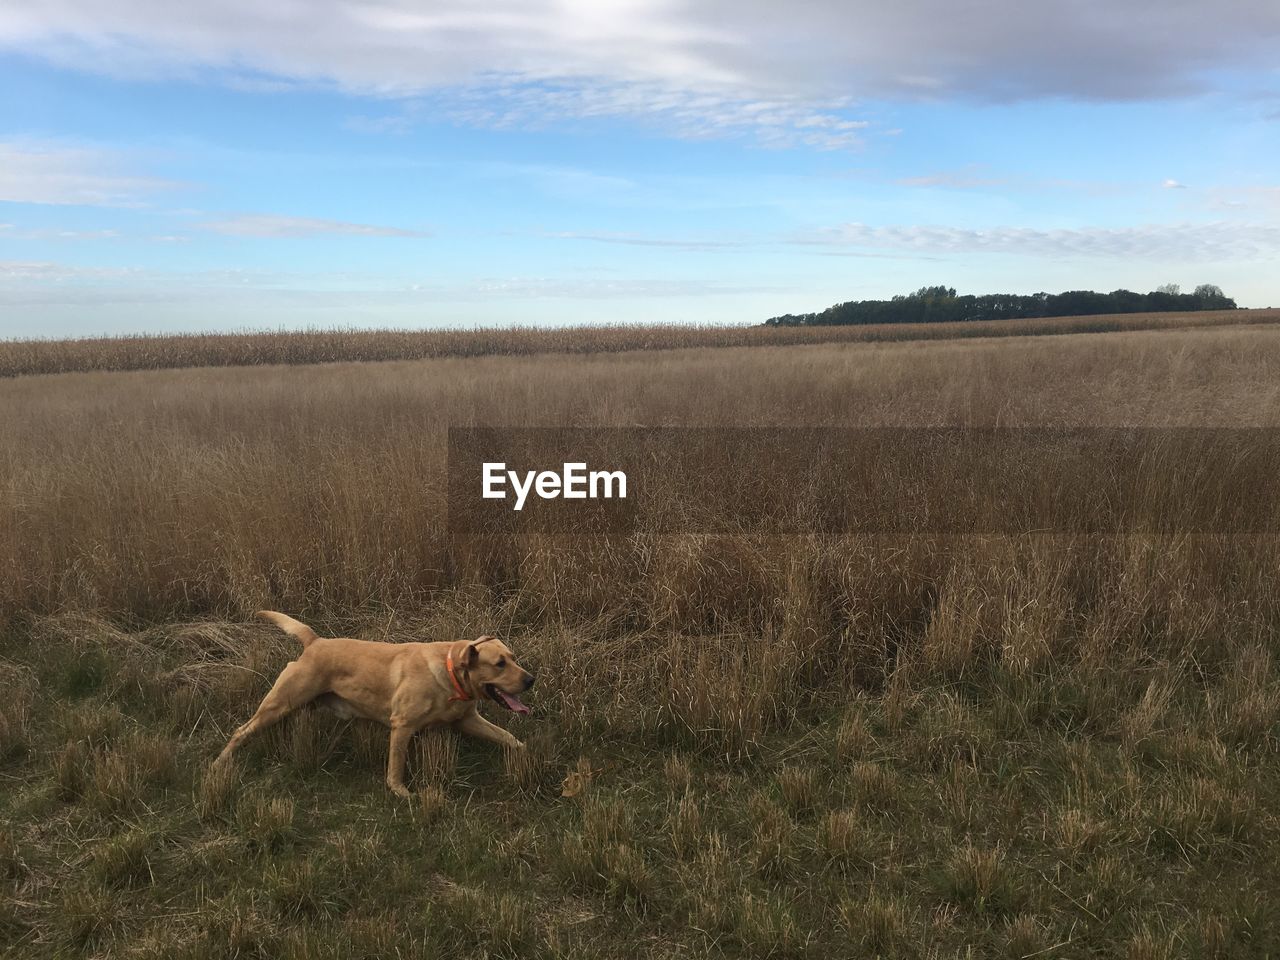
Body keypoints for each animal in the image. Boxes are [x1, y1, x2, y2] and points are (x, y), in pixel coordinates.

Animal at [212, 616, 532, 798]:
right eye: (499, 664)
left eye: (513, 657)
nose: (531, 679)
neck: (450, 671)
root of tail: (315, 641)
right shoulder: (402, 726)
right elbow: (396, 766)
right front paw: (400, 792)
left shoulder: (468, 720)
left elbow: (510, 739)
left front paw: (526, 754)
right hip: (280, 702)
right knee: (241, 730)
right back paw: (221, 763)